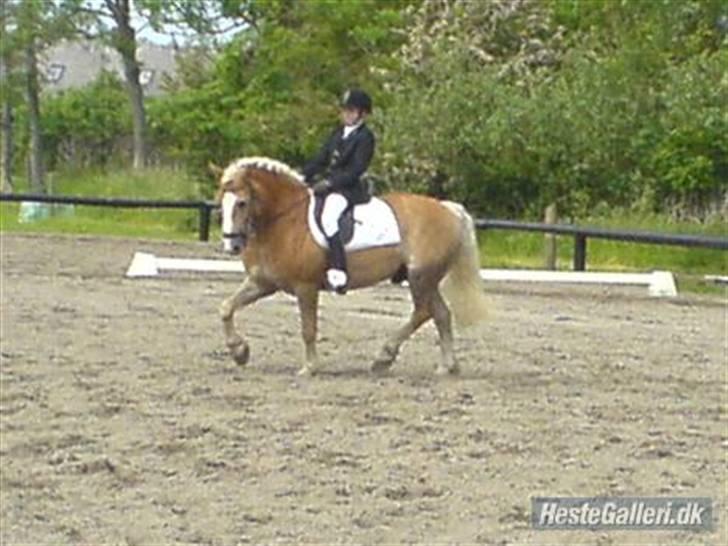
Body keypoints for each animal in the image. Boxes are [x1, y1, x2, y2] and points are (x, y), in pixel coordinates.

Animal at [215, 155, 490, 372]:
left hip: (420, 276)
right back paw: (446, 366)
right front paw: (239, 352)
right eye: (221, 204)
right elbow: (226, 307)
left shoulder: (306, 287)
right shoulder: (263, 282)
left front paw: (310, 367)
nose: (232, 245)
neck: (283, 220)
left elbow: (308, 328)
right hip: (426, 279)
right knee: (441, 313)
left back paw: (384, 357)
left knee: (423, 312)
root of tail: (448, 209)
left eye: (241, 203)